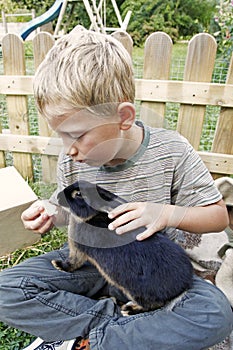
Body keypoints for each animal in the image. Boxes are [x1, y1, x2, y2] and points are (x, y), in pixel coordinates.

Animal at [52, 180, 193, 314]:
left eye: (78, 194)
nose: (58, 197)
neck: (89, 218)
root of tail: (182, 287)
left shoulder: (77, 250)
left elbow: (73, 262)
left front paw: (58, 265)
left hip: (137, 290)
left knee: (152, 305)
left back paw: (129, 310)